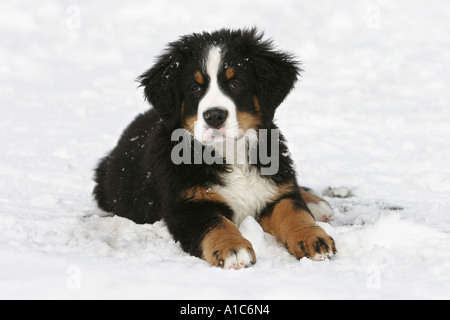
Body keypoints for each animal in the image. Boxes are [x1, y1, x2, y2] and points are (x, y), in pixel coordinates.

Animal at [93, 27, 336, 268]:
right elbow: (216, 223)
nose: (214, 116)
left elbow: (293, 211)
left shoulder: (276, 191)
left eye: (235, 83)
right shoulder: (188, 206)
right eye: (195, 88)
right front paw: (233, 248)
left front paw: (312, 238)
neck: (231, 151)